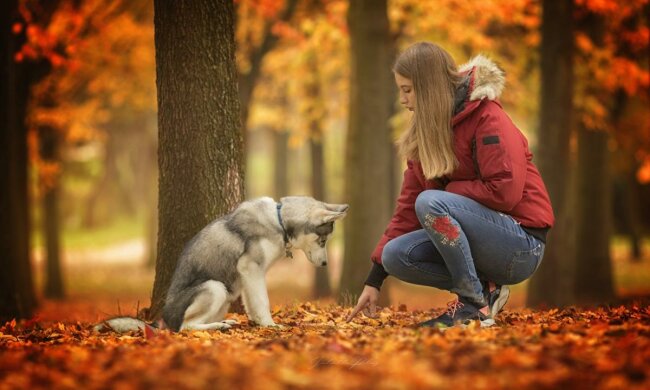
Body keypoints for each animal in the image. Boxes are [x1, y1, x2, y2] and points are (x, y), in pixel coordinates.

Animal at [95, 195, 344, 332]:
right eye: (323, 240)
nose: (325, 264)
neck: (279, 220)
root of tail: (161, 319)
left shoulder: (249, 276)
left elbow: (253, 302)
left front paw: (257, 322)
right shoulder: (251, 267)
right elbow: (262, 300)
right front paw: (270, 325)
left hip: (226, 295)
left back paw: (226, 322)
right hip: (215, 287)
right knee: (184, 327)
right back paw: (218, 326)